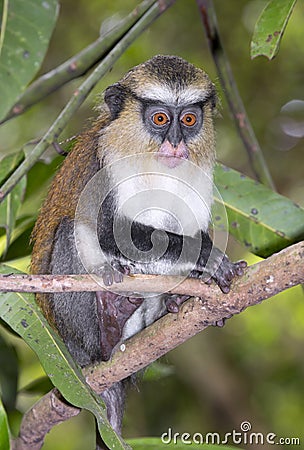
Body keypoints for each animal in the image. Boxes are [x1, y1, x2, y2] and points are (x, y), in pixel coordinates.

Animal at [30, 55, 246, 446]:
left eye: (188, 119)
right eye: (159, 118)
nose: (175, 143)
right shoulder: (103, 164)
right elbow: (109, 232)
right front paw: (207, 256)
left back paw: (172, 304)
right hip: (74, 337)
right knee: (69, 231)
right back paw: (108, 334)